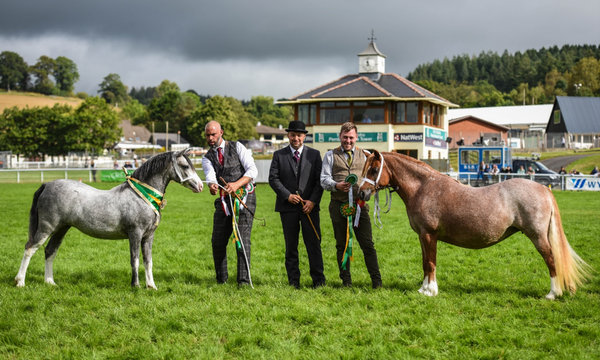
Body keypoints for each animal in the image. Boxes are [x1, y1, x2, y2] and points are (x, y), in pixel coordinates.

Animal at [15, 149, 203, 290]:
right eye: (185, 165)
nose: (200, 186)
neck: (141, 196)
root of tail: (47, 184)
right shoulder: (135, 234)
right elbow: (135, 260)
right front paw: (136, 286)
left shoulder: (148, 236)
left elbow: (148, 261)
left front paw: (151, 286)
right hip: (46, 227)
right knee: (30, 248)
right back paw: (20, 282)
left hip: (61, 229)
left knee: (50, 251)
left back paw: (50, 282)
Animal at [356, 150, 592, 300]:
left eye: (374, 169)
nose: (361, 193)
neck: (424, 187)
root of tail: (543, 189)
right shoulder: (422, 236)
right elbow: (425, 262)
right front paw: (423, 289)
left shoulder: (429, 235)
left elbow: (430, 263)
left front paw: (431, 291)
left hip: (538, 237)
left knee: (551, 259)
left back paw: (553, 294)